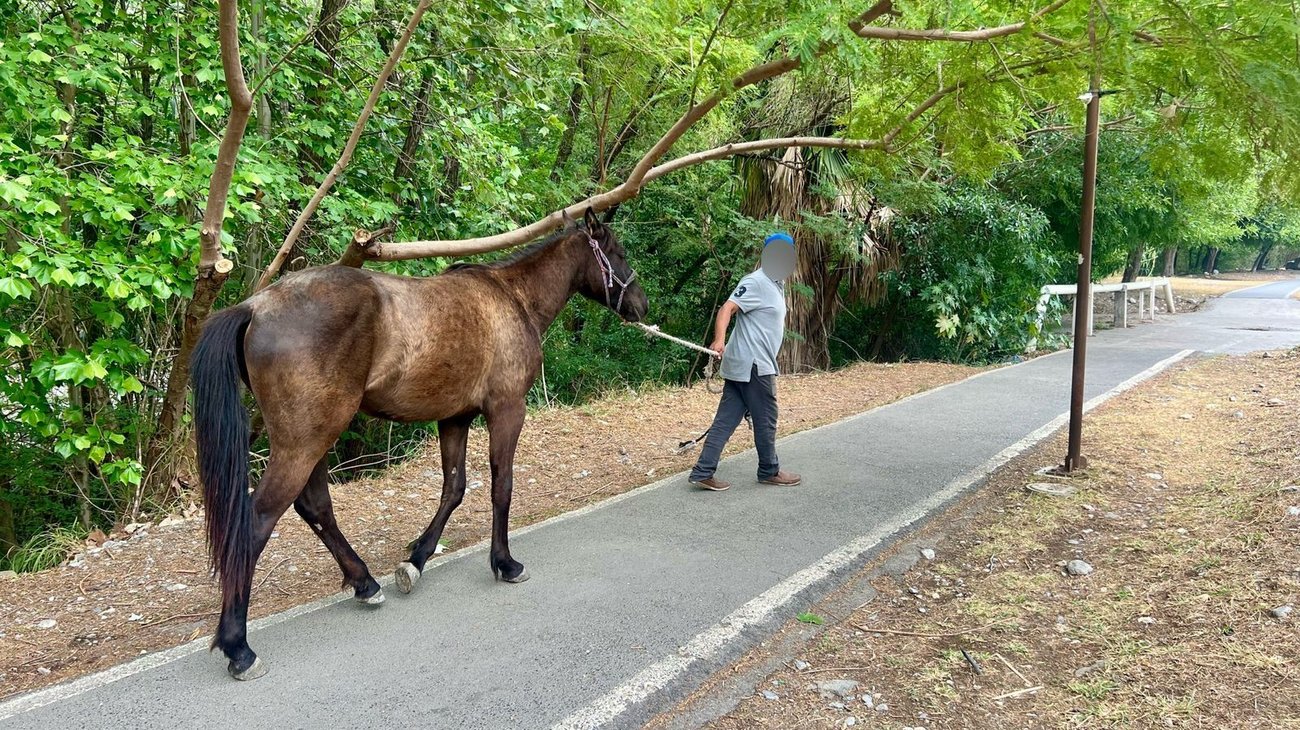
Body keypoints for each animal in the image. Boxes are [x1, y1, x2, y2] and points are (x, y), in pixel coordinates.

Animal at [190, 209, 648, 680]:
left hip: (314, 438)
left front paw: (417, 559)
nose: (641, 306)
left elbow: (454, 488)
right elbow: (501, 488)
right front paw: (505, 563)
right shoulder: (506, 411)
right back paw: (238, 646)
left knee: (315, 507)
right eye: (618, 251)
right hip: (304, 443)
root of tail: (256, 306)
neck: (512, 297)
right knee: (257, 521)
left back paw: (364, 583)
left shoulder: (455, 418)